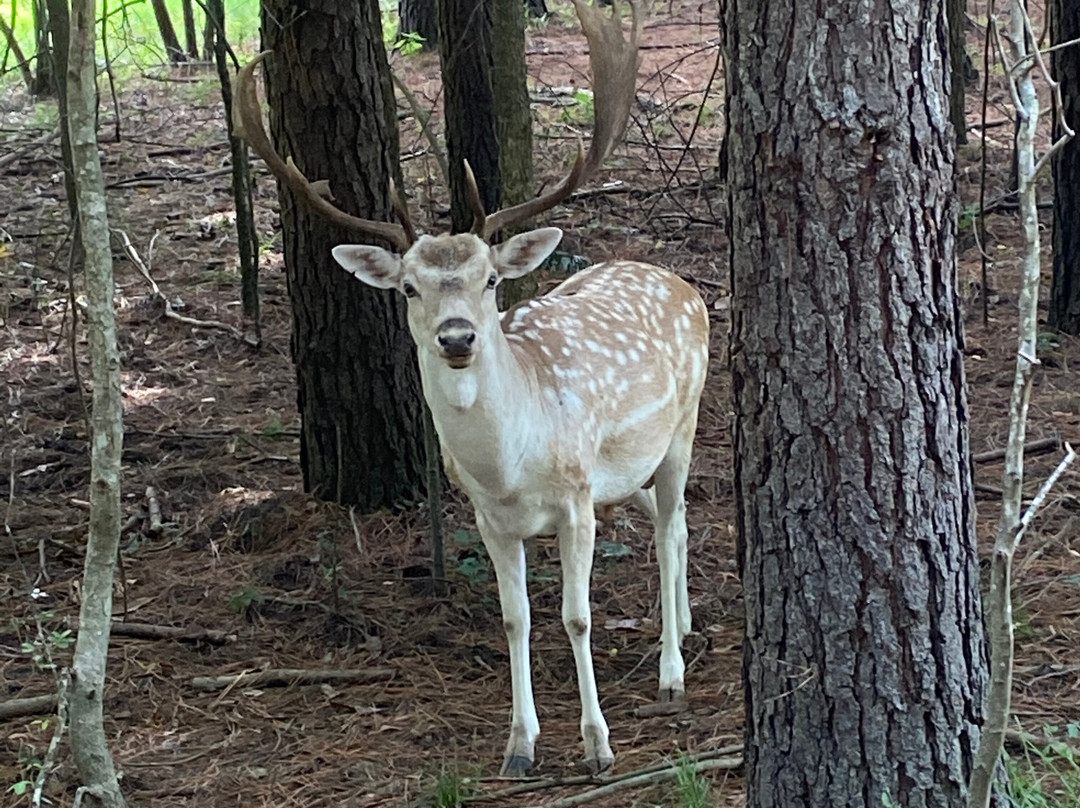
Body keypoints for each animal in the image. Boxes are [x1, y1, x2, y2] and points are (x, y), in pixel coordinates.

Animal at [234, 0, 708, 777]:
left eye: (488, 279)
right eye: (407, 287)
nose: (457, 337)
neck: (510, 466)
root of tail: (678, 279)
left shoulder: (576, 499)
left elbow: (577, 616)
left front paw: (597, 746)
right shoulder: (490, 518)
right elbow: (514, 618)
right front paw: (519, 746)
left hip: (684, 425)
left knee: (670, 528)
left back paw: (671, 671)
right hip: (626, 469)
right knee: (675, 522)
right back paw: (688, 624)